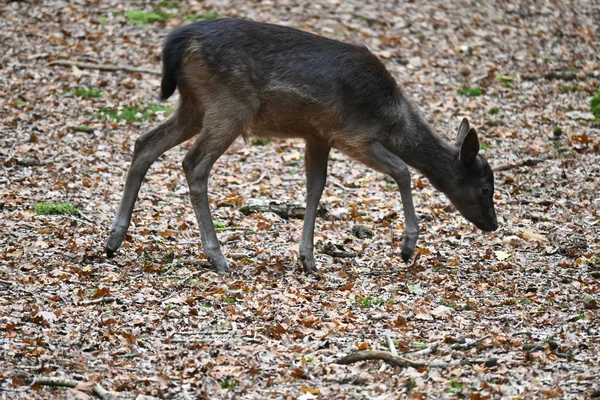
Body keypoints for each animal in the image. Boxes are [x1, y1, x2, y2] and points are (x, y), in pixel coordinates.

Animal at [105, 18, 500, 276]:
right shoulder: (352, 134)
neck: (393, 122)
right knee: (194, 164)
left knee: (145, 142)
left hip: (194, 105)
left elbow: (315, 188)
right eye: (485, 188)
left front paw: (307, 258)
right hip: (228, 105)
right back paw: (217, 257)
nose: (493, 225)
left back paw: (113, 240)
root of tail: (176, 42)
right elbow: (403, 171)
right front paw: (406, 247)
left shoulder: (318, 136)